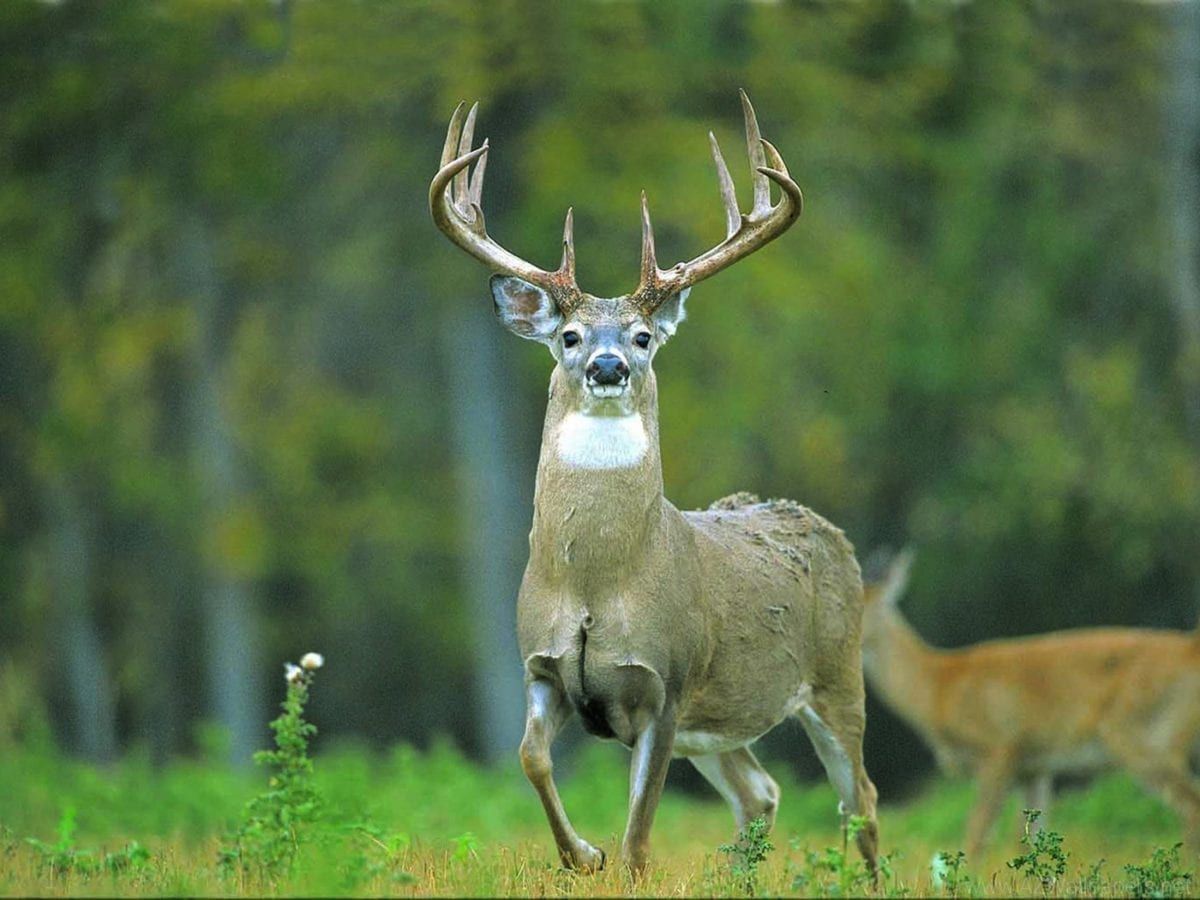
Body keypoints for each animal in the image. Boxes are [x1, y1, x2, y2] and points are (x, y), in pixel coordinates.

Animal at [432, 93, 883, 883]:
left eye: (643, 337)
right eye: (571, 336)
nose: (610, 365)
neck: (596, 582)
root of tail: (826, 530)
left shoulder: (666, 684)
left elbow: (641, 836)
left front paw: (610, 856)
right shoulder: (541, 667)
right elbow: (529, 758)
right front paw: (581, 853)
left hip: (836, 676)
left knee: (861, 799)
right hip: (722, 723)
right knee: (762, 792)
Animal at [859, 549, 1200, 859]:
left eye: (864, 605)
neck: (936, 688)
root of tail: (1190, 649)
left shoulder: (999, 748)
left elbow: (977, 833)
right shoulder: (1034, 766)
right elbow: (1030, 836)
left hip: (1147, 737)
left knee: (1191, 807)